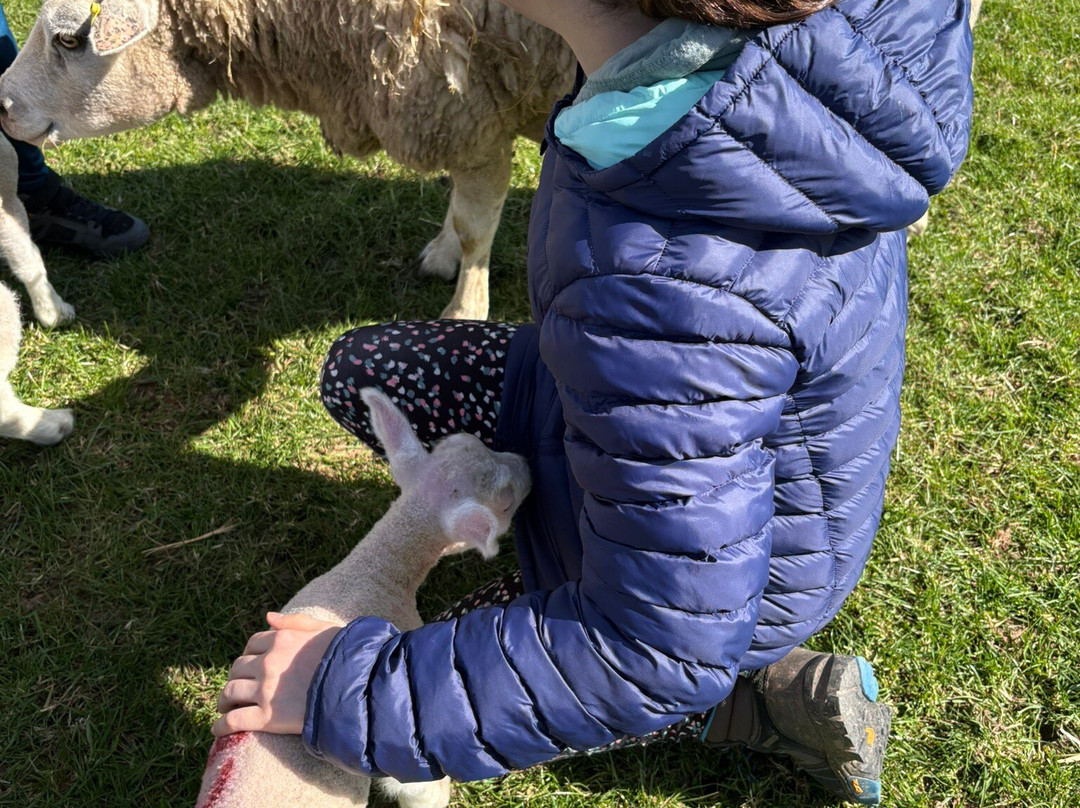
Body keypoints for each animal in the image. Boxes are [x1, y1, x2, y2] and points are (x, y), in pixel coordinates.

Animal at [0, 0, 576, 321]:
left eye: (69, 39)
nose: (1, 104)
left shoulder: (471, 107)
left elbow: (476, 228)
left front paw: (463, 313)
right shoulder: (469, 113)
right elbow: (465, 212)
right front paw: (444, 254)